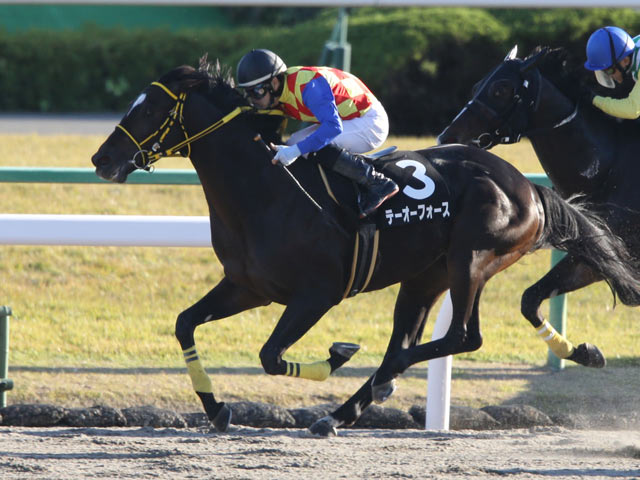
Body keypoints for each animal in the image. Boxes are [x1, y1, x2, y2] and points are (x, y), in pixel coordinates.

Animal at [438, 45, 640, 366]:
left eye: (500, 89)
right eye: (475, 86)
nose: (447, 137)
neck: (608, 169)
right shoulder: (597, 255)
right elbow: (529, 299)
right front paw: (584, 352)